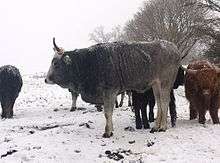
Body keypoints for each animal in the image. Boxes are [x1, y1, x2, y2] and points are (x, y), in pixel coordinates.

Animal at [44, 38, 180, 138]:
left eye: (55, 63)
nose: (46, 79)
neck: (88, 62)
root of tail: (174, 48)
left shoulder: (109, 92)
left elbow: (107, 113)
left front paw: (108, 132)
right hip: (156, 85)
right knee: (159, 103)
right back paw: (156, 126)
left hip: (165, 83)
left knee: (164, 102)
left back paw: (162, 127)